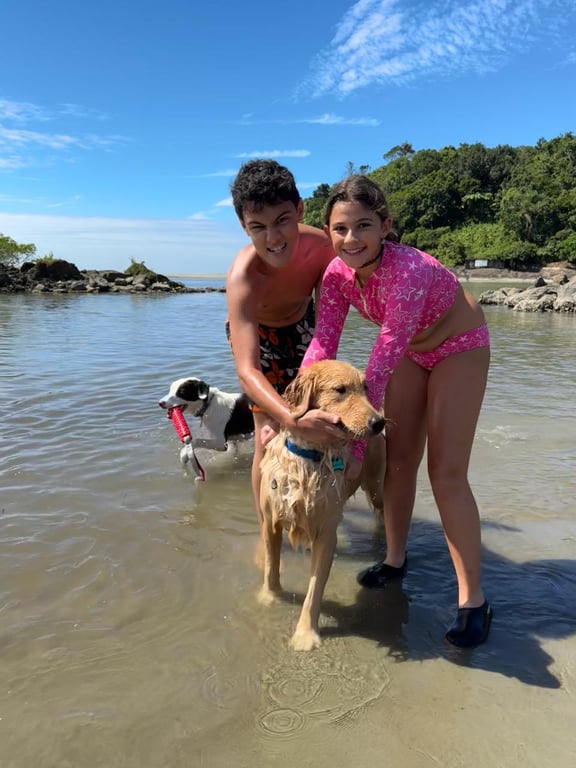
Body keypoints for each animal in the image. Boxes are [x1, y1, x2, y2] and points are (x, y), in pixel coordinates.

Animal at [258, 359, 387, 651]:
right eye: (340, 390)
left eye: (365, 388)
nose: (379, 422)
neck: (310, 457)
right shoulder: (271, 520)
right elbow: (271, 565)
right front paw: (269, 597)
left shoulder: (327, 533)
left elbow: (314, 590)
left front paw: (305, 635)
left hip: (376, 485)